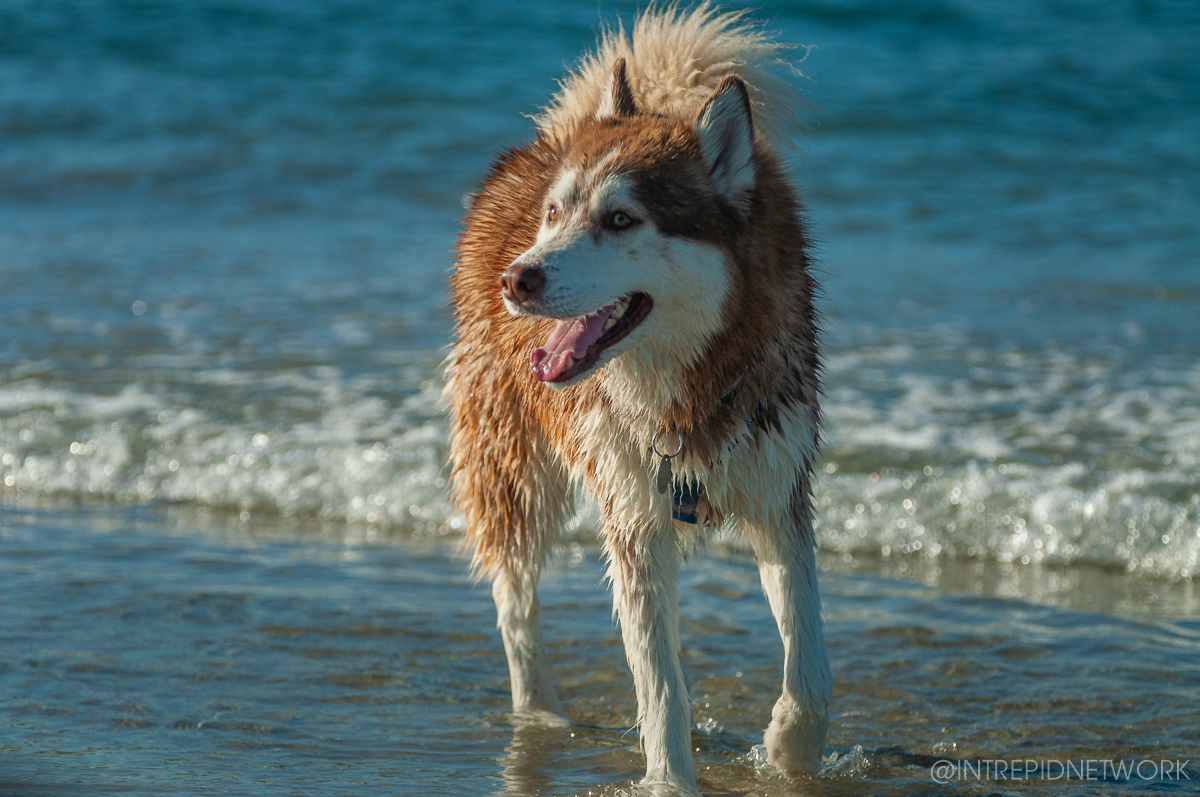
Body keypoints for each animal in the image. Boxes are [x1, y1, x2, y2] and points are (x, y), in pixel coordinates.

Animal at [446, 4, 830, 792]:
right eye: (555, 213)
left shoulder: (778, 490)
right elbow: (658, 687)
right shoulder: (633, 516)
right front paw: (673, 777)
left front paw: (788, 748)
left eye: (621, 219)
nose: (517, 279)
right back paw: (539, 717)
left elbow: (808, 662)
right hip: (511, 467)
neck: (691, 386)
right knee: (514, 599)